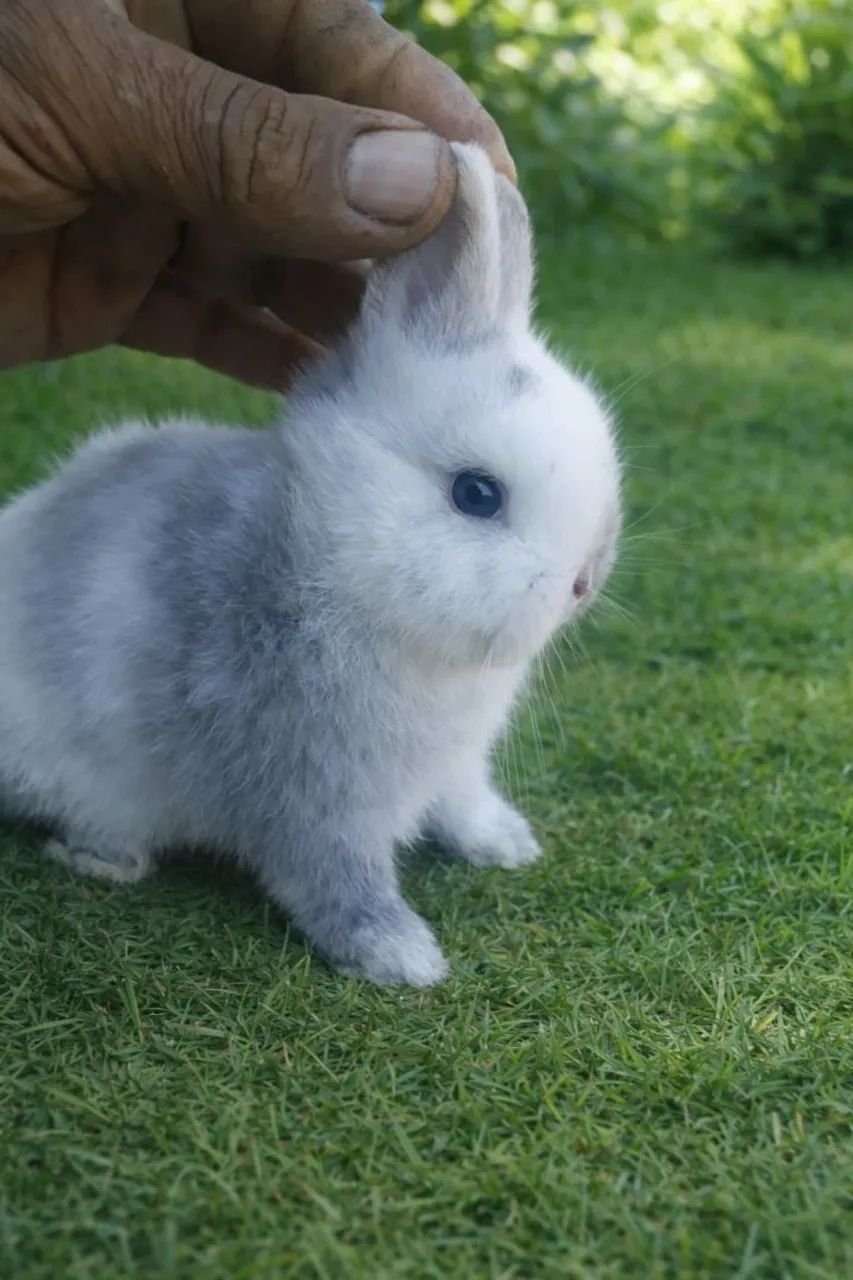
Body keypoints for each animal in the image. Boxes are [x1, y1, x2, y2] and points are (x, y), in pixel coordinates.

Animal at [0, 144, 621, 986]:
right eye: (476, 494)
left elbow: (463, 802)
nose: (584, 583)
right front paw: (403, 958)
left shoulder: (455, 765)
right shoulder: (313, 793)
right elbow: (333, 878)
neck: (340, 563)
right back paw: (105, 858)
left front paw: (506, 844)